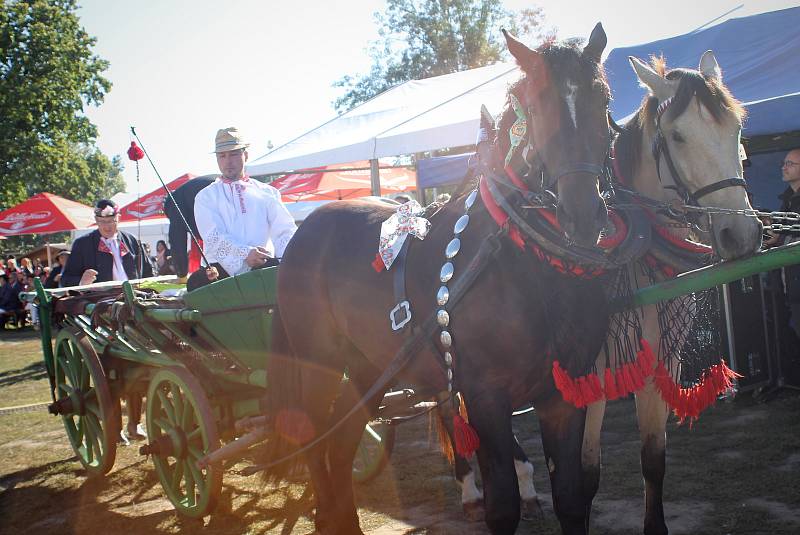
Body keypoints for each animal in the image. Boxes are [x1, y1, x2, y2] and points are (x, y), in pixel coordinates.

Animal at [268, 25, 612, 535]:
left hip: (369, 366)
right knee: (317, 441)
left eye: (602, 98)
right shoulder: (485, 396)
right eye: (538, 106)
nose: (583, 213)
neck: (525, 268)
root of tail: (304, 232)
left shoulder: (564, 396)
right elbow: (503, 505)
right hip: (318, 365)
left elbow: (571, 498)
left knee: (341, 443)